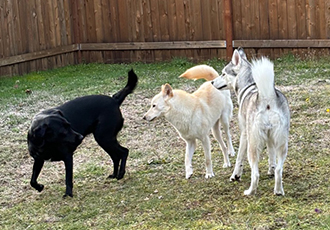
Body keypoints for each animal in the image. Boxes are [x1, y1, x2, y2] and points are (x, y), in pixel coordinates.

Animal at [27, 69, 138, 197]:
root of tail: (114, 100)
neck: (46, 144)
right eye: (63, 131)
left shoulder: (67, 157)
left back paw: (120, 174)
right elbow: (32, 180)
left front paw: (68, 194)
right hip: (104, 140)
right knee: (115, 156)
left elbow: (68, 178)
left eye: (69, 125)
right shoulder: (38, 159)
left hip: (104, 138)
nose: (80, 137)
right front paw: (39, 187)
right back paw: (114, 175)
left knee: (124, 152)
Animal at [211, 48, 288, 196]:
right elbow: (272, 157)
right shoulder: (270, 139)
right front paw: (270, 170)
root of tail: (267, 97)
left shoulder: (244, 135)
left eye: (223, 73)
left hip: (252, 146)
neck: (249, 85)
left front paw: (235, 176)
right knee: (279, 170)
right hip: (282, 145)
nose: (211, 82)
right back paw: (278, 190)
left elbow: (239, 159)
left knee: (255, 174)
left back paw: (250, 191)